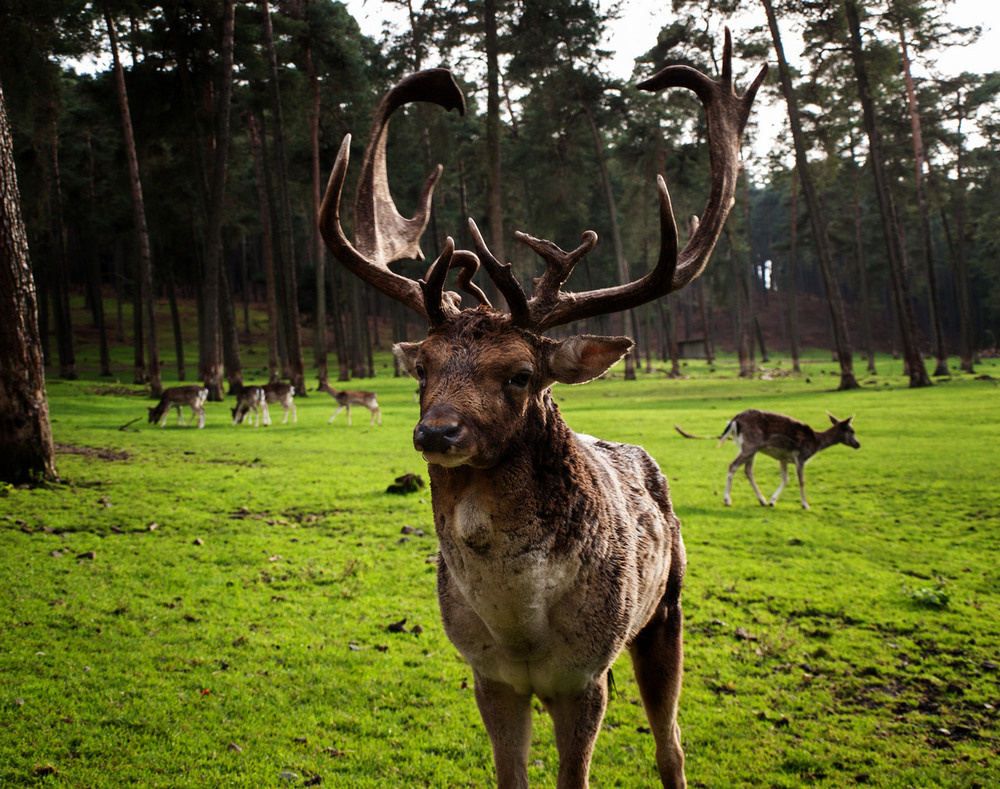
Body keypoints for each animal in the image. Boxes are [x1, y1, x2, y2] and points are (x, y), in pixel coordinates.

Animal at [320, 27, 764, 784]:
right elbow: (510, 773)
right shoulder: (488, 676)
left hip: (667, 610)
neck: (518, 627)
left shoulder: (585, 677)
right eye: (423, 367)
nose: (437, 432)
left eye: (522, 374)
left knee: (671, 744)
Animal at [676, 410, 864, 508]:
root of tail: (735, 420)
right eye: (852, 430)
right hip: (750, 445)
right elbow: (801, 480)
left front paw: (773, 501)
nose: (858, 444)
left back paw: (762, 500)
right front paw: (805, 505)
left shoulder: (784, 458)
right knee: (733, 466)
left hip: (749, 447)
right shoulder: (800, 456)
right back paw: (728, 500)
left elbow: (786, 479)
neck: (816, 442)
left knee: (747, 470)